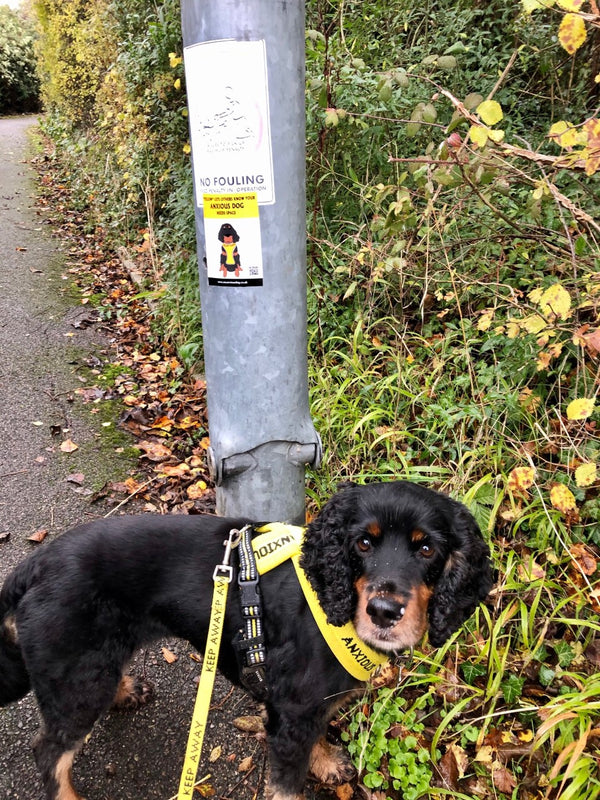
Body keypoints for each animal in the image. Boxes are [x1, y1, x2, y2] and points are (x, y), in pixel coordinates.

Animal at [0, 482, 492, 800]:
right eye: (363, 544)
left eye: (427, 549)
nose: (384, 612)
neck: (330, 595)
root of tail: (34, 566)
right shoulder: (292, 711)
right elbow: (288, 785)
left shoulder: (306, 706)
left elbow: (316, 736)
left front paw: (326, 762)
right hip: (77, 679)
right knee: (49, 751)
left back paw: (127, 690)